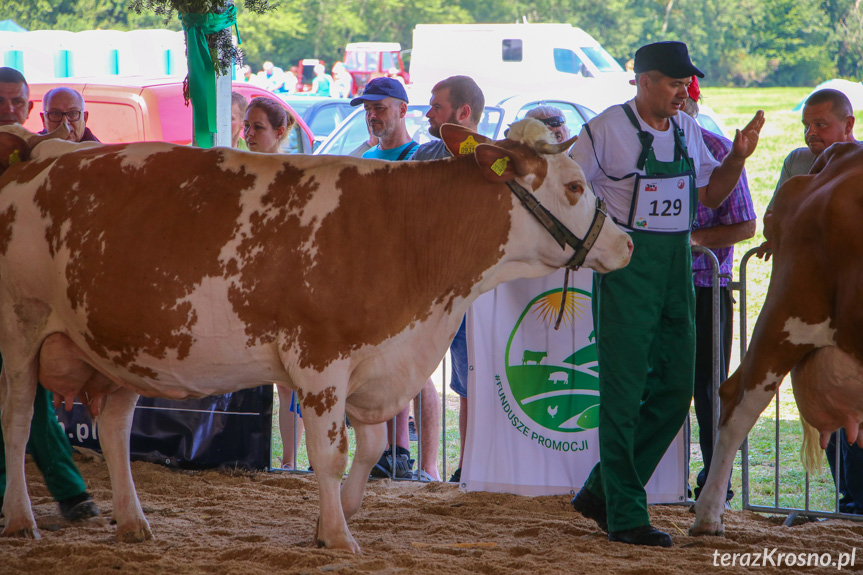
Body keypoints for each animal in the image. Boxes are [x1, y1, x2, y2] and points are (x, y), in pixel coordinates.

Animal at [0, 118, 636, 552]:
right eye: (575, 186)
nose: (627, 243)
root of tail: (42, 152)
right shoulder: (320, 361)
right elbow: (331, 452)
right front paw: (336, 535)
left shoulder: (375, 362)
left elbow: (374, 447)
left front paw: (343, 514)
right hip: (21, 328)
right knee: (19, 422)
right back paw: (21, 519)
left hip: (122, 347)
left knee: (112, 426)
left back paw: (134, 523)